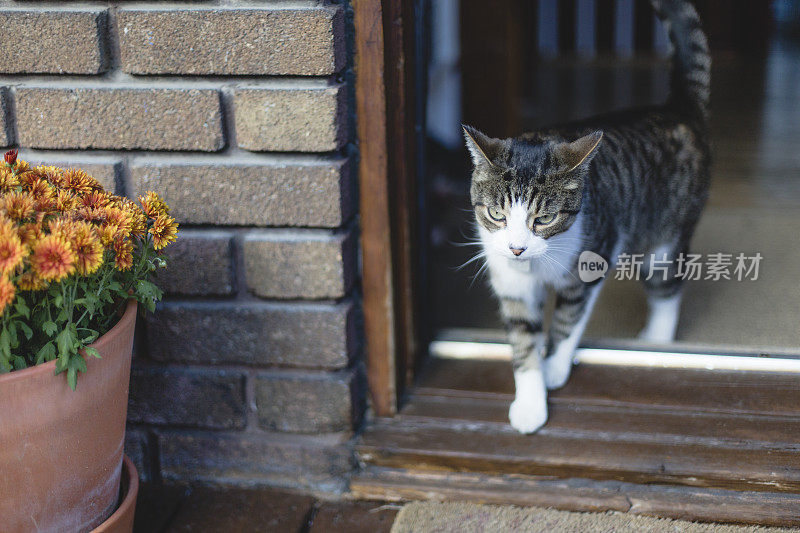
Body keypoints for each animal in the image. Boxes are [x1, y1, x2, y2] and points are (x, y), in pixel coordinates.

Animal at [462, 0, 712, 432]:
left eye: (544, 220)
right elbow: (523, 337)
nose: (516, 248)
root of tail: (677, 107)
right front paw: (530, 403)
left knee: (666, 287)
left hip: (666, 233)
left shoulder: (592, 258)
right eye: (496, 213)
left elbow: (568, 318)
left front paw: (554, 369)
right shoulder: (511, 282)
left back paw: (657, 340)